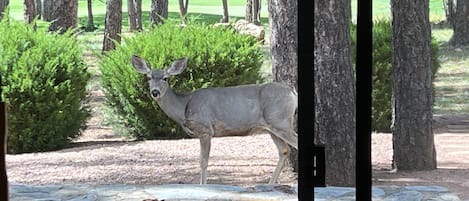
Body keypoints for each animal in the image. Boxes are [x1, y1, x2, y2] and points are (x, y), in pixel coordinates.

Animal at [131, 55, 296, 185]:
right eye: (148, 77)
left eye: (165, 78)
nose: (155, 92)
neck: (184, 107)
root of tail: (292, 93)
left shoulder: (205, 129)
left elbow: (203, 161)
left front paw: (203, 186)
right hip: (272, 127)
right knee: (284, 150)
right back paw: (270, 184)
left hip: (280, 121)